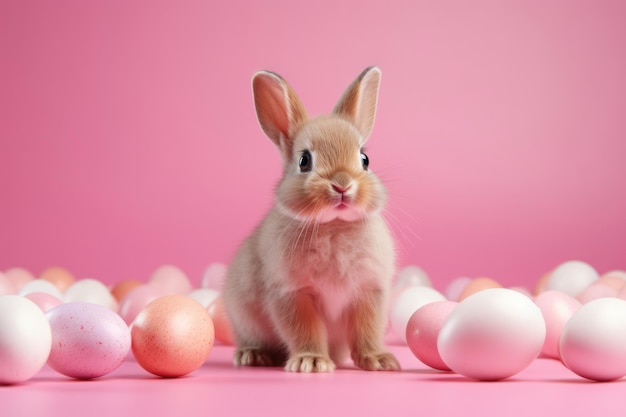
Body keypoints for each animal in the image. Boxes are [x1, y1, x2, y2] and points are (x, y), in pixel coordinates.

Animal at [223, 66, 400, 372]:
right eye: (304, 161)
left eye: (365, 159)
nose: (342, 184)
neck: (334, 224)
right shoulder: (291, 294)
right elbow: (304, 330)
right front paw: (312, 361)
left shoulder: (370, 292)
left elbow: (367, 330)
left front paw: (379, 361)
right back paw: (252, 355)